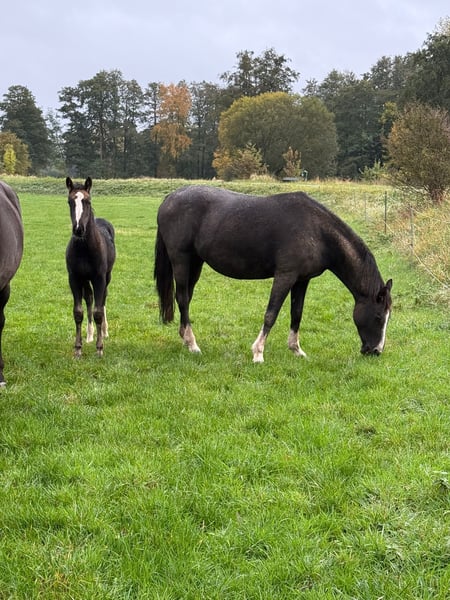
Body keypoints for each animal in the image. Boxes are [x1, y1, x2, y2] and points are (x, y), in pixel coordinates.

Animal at [65, 177, 116, 357]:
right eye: (69, 202)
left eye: (88, 201)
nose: (78, 229)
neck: (84, 248)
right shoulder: (74, 278)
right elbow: (78, 312)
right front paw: (78, 349)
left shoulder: (99, 278)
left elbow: (98, 312)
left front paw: (100, 348)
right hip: (85, 280)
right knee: (89, 298)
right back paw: (89, 335)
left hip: (107, 276)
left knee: (103, 299)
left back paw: (104, 332)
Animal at [154, 185, 393, 362]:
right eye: (379, 316)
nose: (375, 351)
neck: (317, 232)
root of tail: (169, 198)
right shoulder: (285, 275)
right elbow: (271, 313)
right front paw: (258, 353)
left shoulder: (302, 280)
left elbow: (297, 313)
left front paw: (296, 350)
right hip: (181, 260)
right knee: (182, 298)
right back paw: (193, 344)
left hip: (195, 262)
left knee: (186, 299)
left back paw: (185, 339)